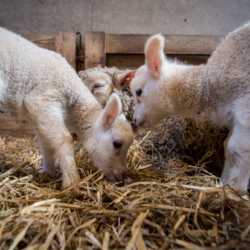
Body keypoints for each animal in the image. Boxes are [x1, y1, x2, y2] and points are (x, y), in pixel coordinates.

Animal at [0, 27, 135, 188]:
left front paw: (48, 174)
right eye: (117, 144)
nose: (122, 175)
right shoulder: (42, 101)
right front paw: (72, 181)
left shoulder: (34, 112)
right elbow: (65, 139)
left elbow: (46, 143)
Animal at [130, 23, 250, 191]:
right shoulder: (234, 116)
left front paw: (235, 190)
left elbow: (237, 148)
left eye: (139, 92)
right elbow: (227, 147)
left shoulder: (245, 106)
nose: (135, 119)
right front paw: (222, 183)